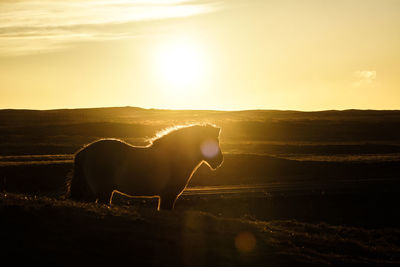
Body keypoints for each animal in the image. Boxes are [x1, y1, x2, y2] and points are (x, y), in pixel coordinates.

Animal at [67, 124, 223, 210]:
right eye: (213, 141)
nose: (219, 160)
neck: (175, 157)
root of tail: (84, 152)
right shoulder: (168, 196)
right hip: (103, 192)